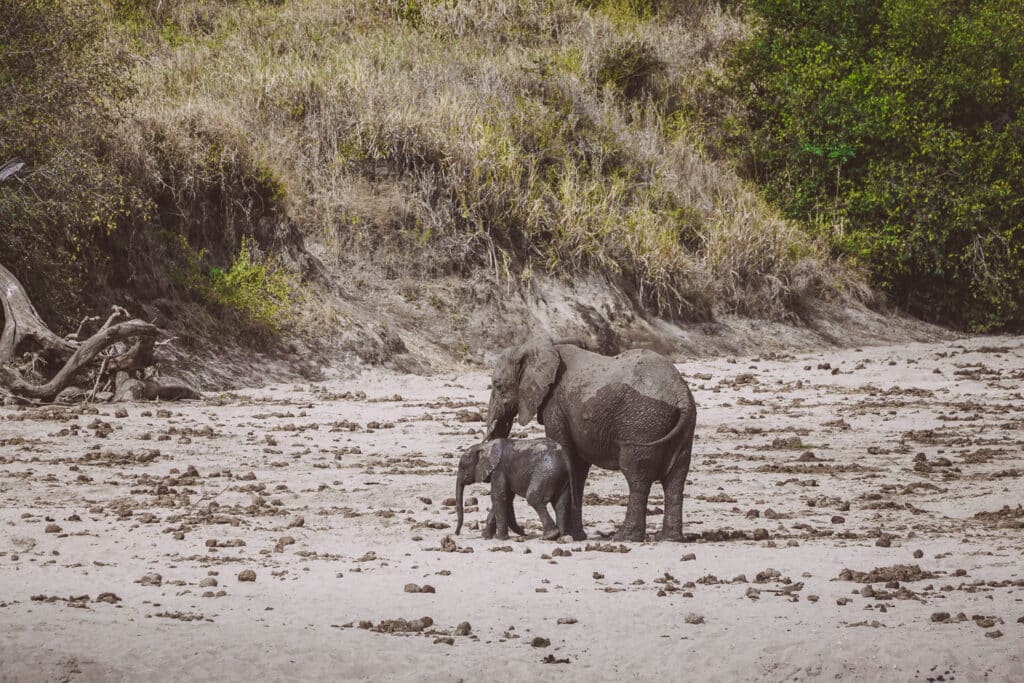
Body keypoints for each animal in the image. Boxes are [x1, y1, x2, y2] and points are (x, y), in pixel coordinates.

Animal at [481, 337, 696, 544]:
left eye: (498, 385)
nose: (486, 535)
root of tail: (681, 395)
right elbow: (577, 468)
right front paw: (575, 536)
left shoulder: (555, 406)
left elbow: (566, 454)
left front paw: (564, 535)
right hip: (682, 428)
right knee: (676, 479)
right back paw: (670, 539)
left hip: (642, 424)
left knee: (637, 477)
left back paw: (625, 538)